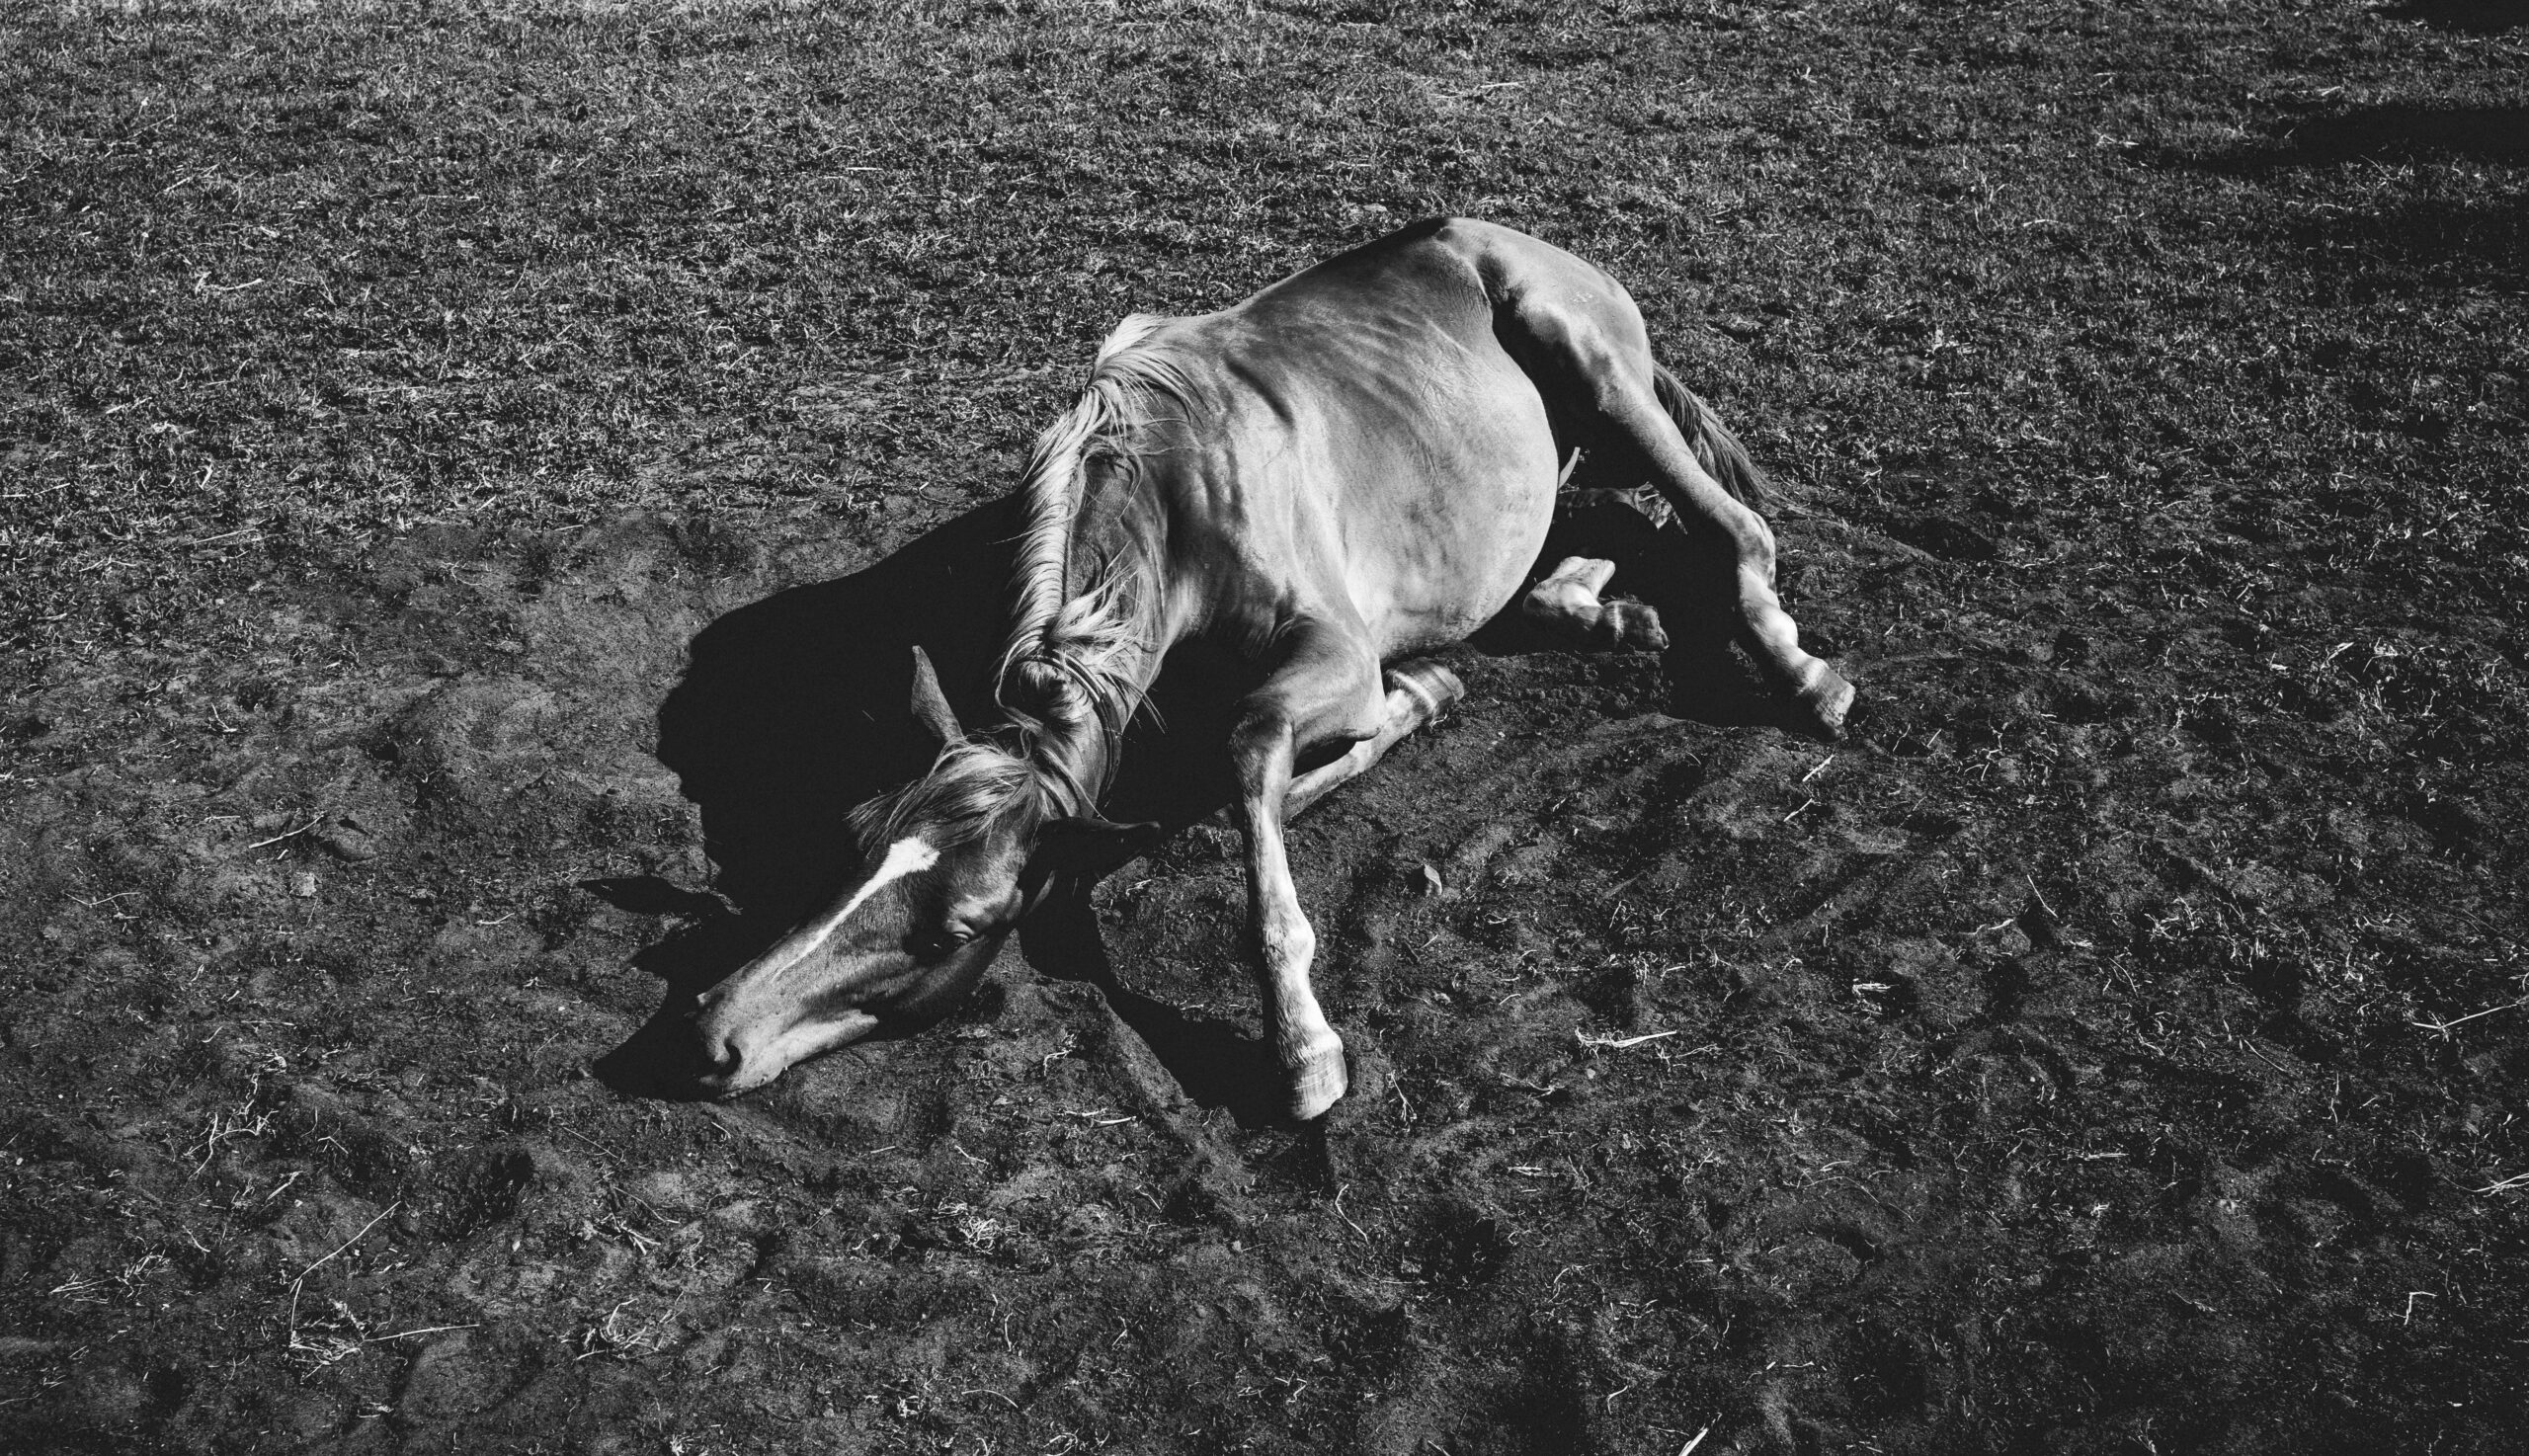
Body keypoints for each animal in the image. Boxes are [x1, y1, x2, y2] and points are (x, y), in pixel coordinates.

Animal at [686, 217, 1853, 1119]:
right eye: (853, 843)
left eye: (961, 924)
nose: (713, 1035)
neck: (1173, 496)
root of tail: (1533, 245)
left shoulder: (1333, 654)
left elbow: (1252, 757)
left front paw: (1302, 1047)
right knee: (1590, 545)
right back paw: (1605, 614)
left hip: (1601, 379)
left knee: (1731, 528)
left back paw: (1805, 675)